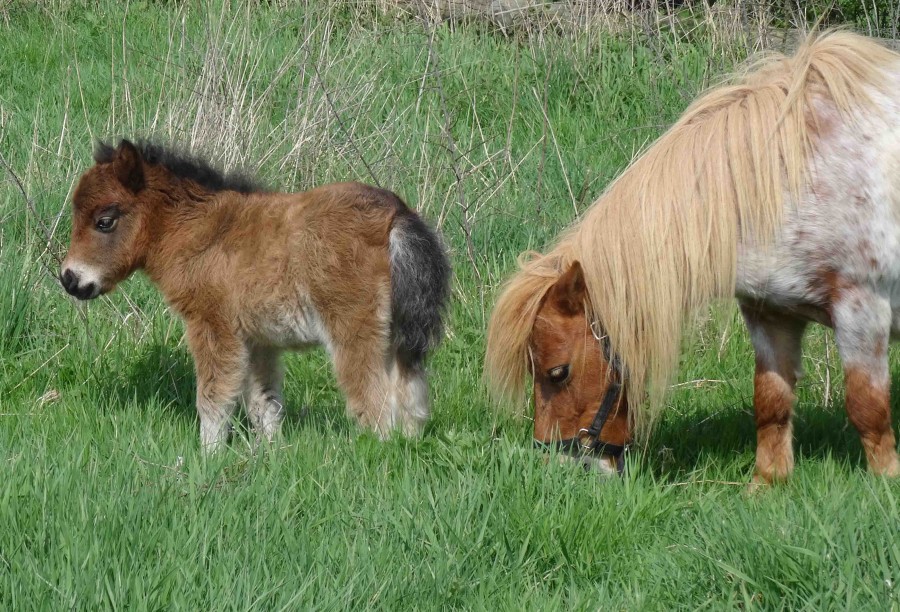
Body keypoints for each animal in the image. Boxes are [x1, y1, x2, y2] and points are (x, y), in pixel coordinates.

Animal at [61, 141, 448, 452]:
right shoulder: (258, 340)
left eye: (105, 221)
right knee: (411, 395)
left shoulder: (212, 328)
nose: (69, 279)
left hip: (355, 334)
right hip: (399, 337)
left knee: (375, 403)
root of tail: (395, 215)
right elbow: (264, 402)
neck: (202, 232)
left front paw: (209, 456)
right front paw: (269, 453)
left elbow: (213, 399)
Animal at [488, 31, 896, 482]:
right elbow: (771, 404)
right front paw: (766, 484)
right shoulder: (770, 315)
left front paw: (885, 480)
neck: (793, 176)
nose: (561, 467)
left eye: (558, 372)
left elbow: (867, 406)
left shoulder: (862, 312)